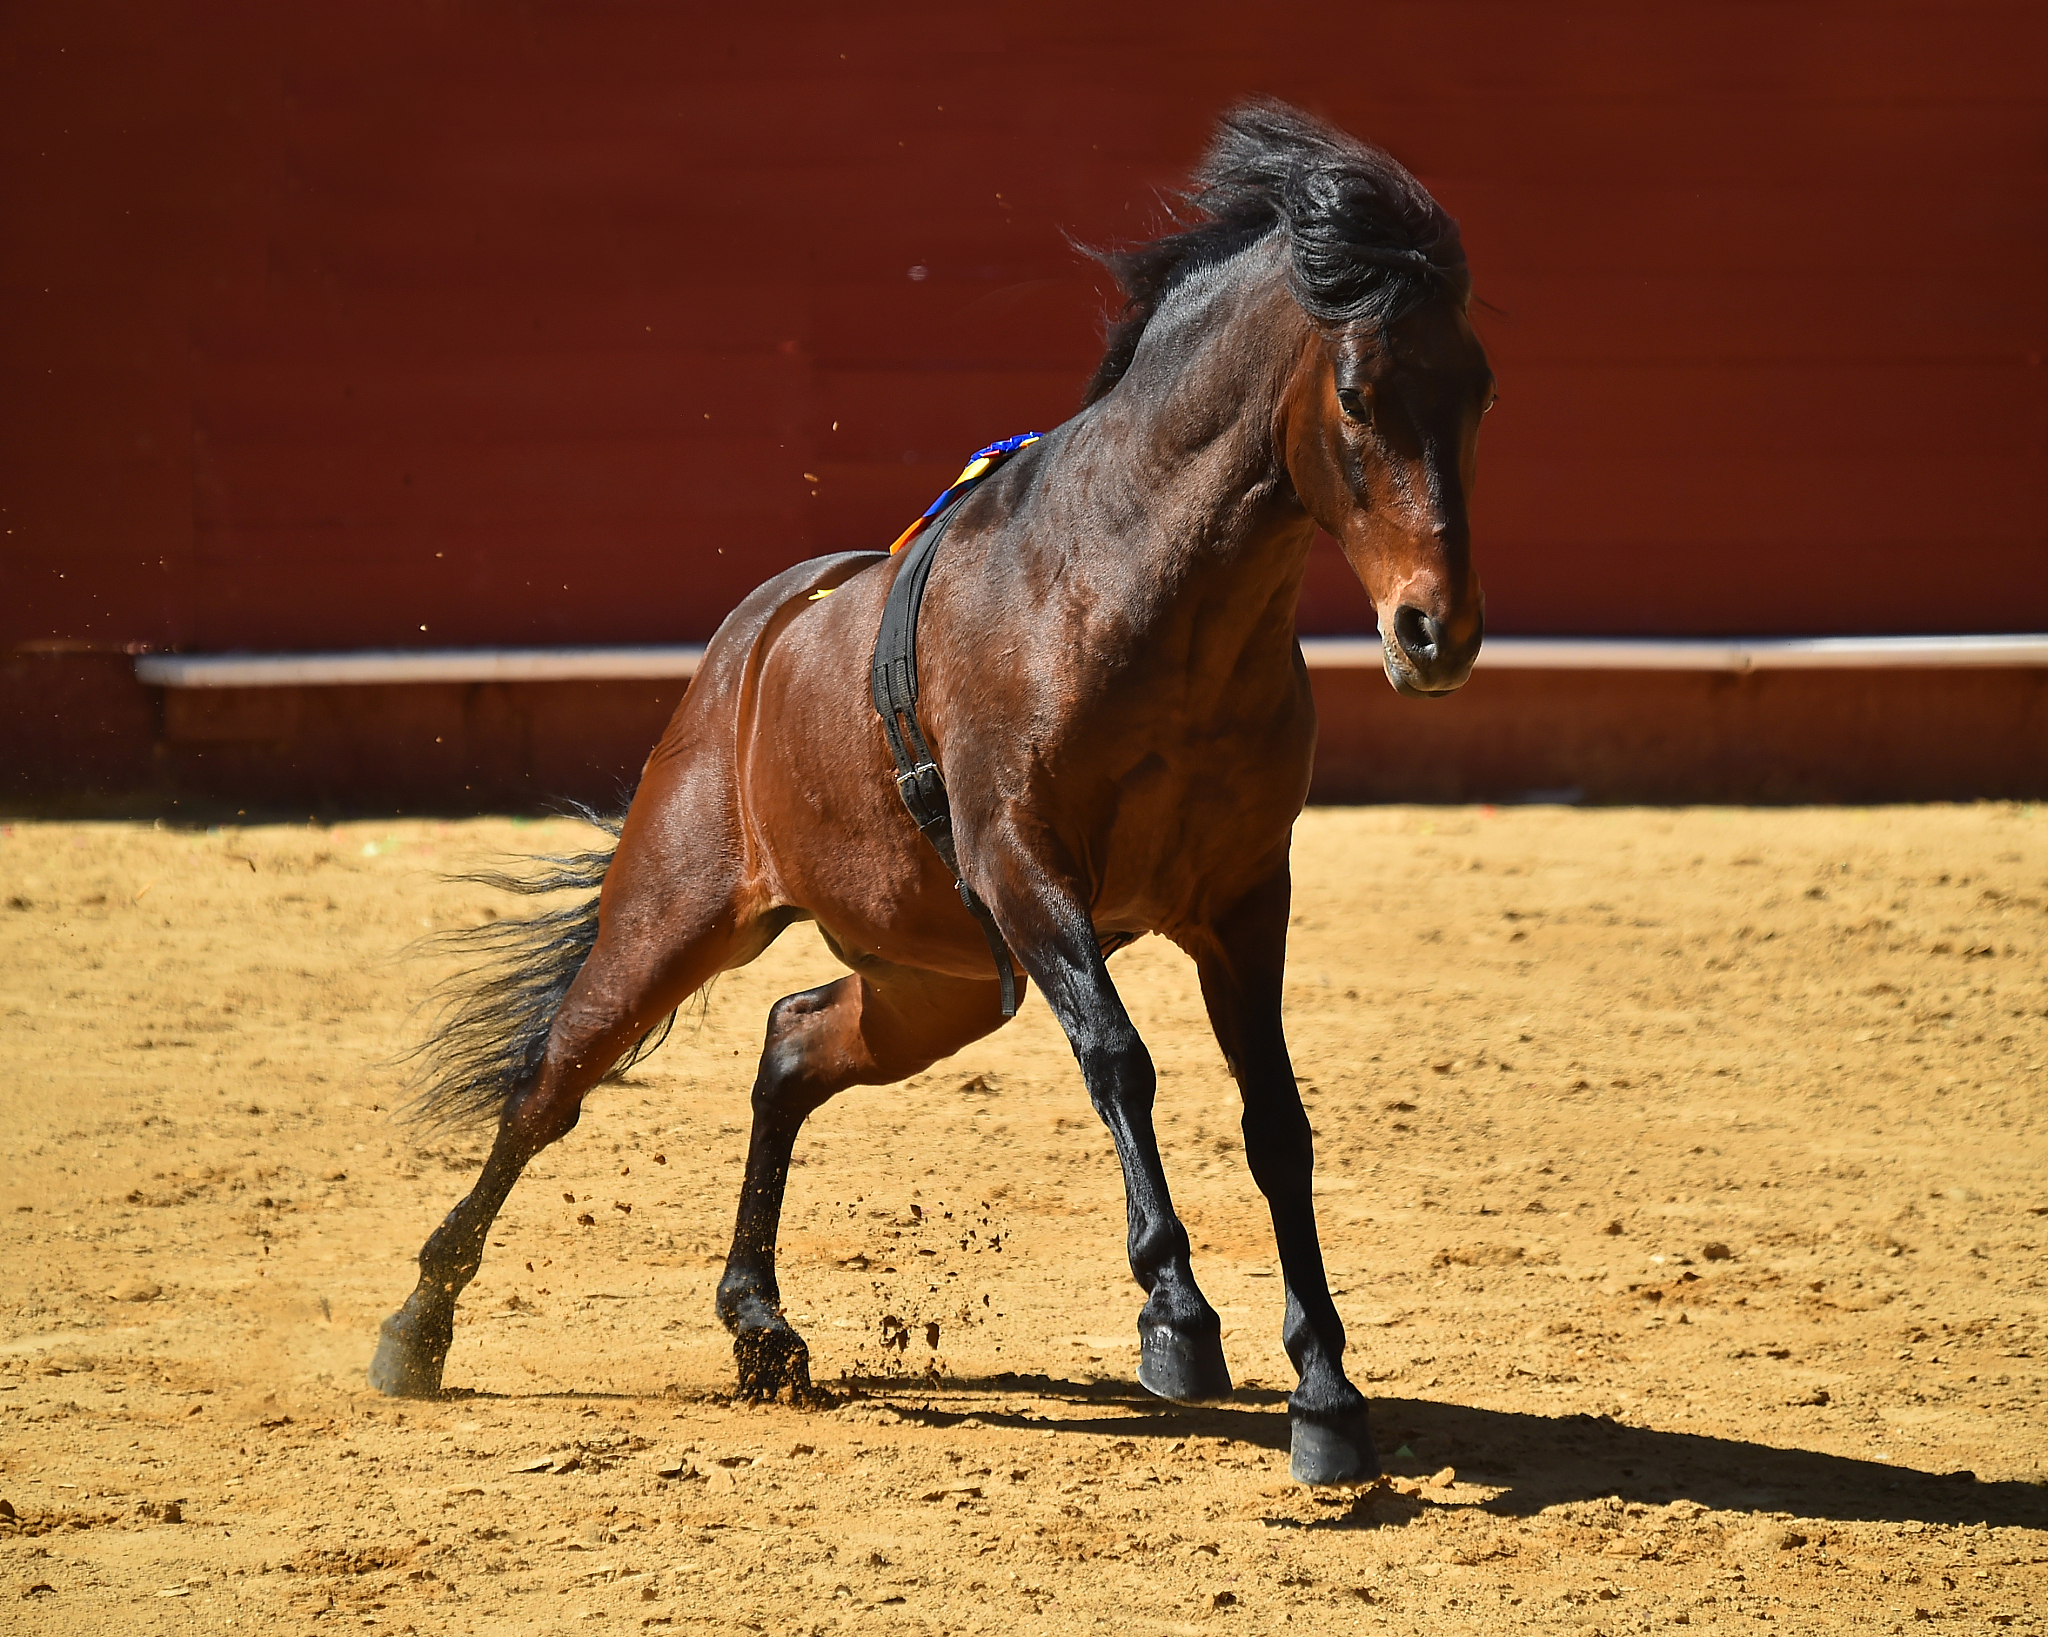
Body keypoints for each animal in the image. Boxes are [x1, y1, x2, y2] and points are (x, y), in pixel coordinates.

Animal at [368, 99, 1493, 1488]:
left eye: (1479, 390)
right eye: (1355, 392)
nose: (1435, 633)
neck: (1140, 597)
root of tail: (749, 641)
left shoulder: (1242, 898)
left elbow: (1274, 1116)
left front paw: (1327, 1391)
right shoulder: (1025, 866)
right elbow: (1120, 1058)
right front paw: (1176, 1321)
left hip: (934, 983)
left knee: (791, 1042)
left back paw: (760, 1328)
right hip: (678, 912)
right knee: (550, 1082)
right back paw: (416, 1328)